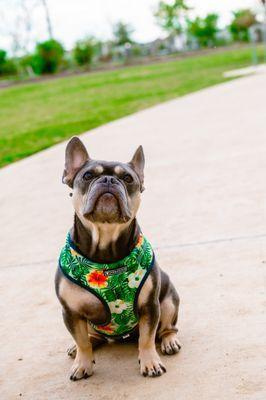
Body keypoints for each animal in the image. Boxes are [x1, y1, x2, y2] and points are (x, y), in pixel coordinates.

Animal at [55, 137, 181, 382]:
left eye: (128, 178)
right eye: (87, 175)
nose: (108, 179)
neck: (105, 251)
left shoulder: (150, 306)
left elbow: (147, 337)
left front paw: (150, 362)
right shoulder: (71, 312)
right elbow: (81, 340)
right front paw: (82, 363)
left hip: (169, 301)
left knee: (165, 327)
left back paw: (169, 340)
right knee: (90, 337)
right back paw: (82, 346)